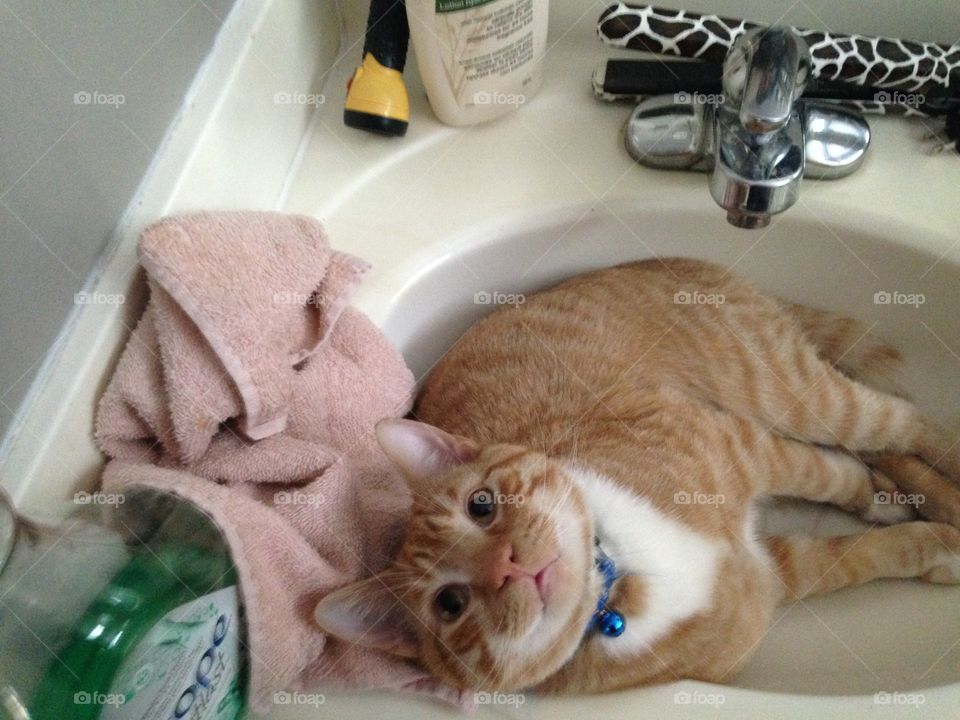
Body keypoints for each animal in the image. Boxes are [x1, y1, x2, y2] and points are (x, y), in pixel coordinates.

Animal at [316, 258, 960, 692]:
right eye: (450, 605)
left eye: (481, 505)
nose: (509, 566)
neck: (622, 572)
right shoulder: (771, 575)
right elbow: (857, 557)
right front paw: (935, 548)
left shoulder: (746, 446)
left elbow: (829, 477)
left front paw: (887, 507)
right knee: (883, 443)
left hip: (790, 394)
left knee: (897, 425)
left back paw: (935, 483)